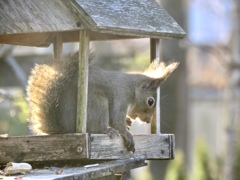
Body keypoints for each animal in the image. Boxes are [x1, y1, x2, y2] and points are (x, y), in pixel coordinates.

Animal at [27, 52, 178, 152]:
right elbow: (116, 120)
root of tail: (65, 129)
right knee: (96, 128)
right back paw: (107, 130)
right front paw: (127, 134)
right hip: (97, 103)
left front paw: (128, 122)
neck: (132, 88)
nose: (148, 120)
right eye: (150, 101)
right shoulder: (121, 96)